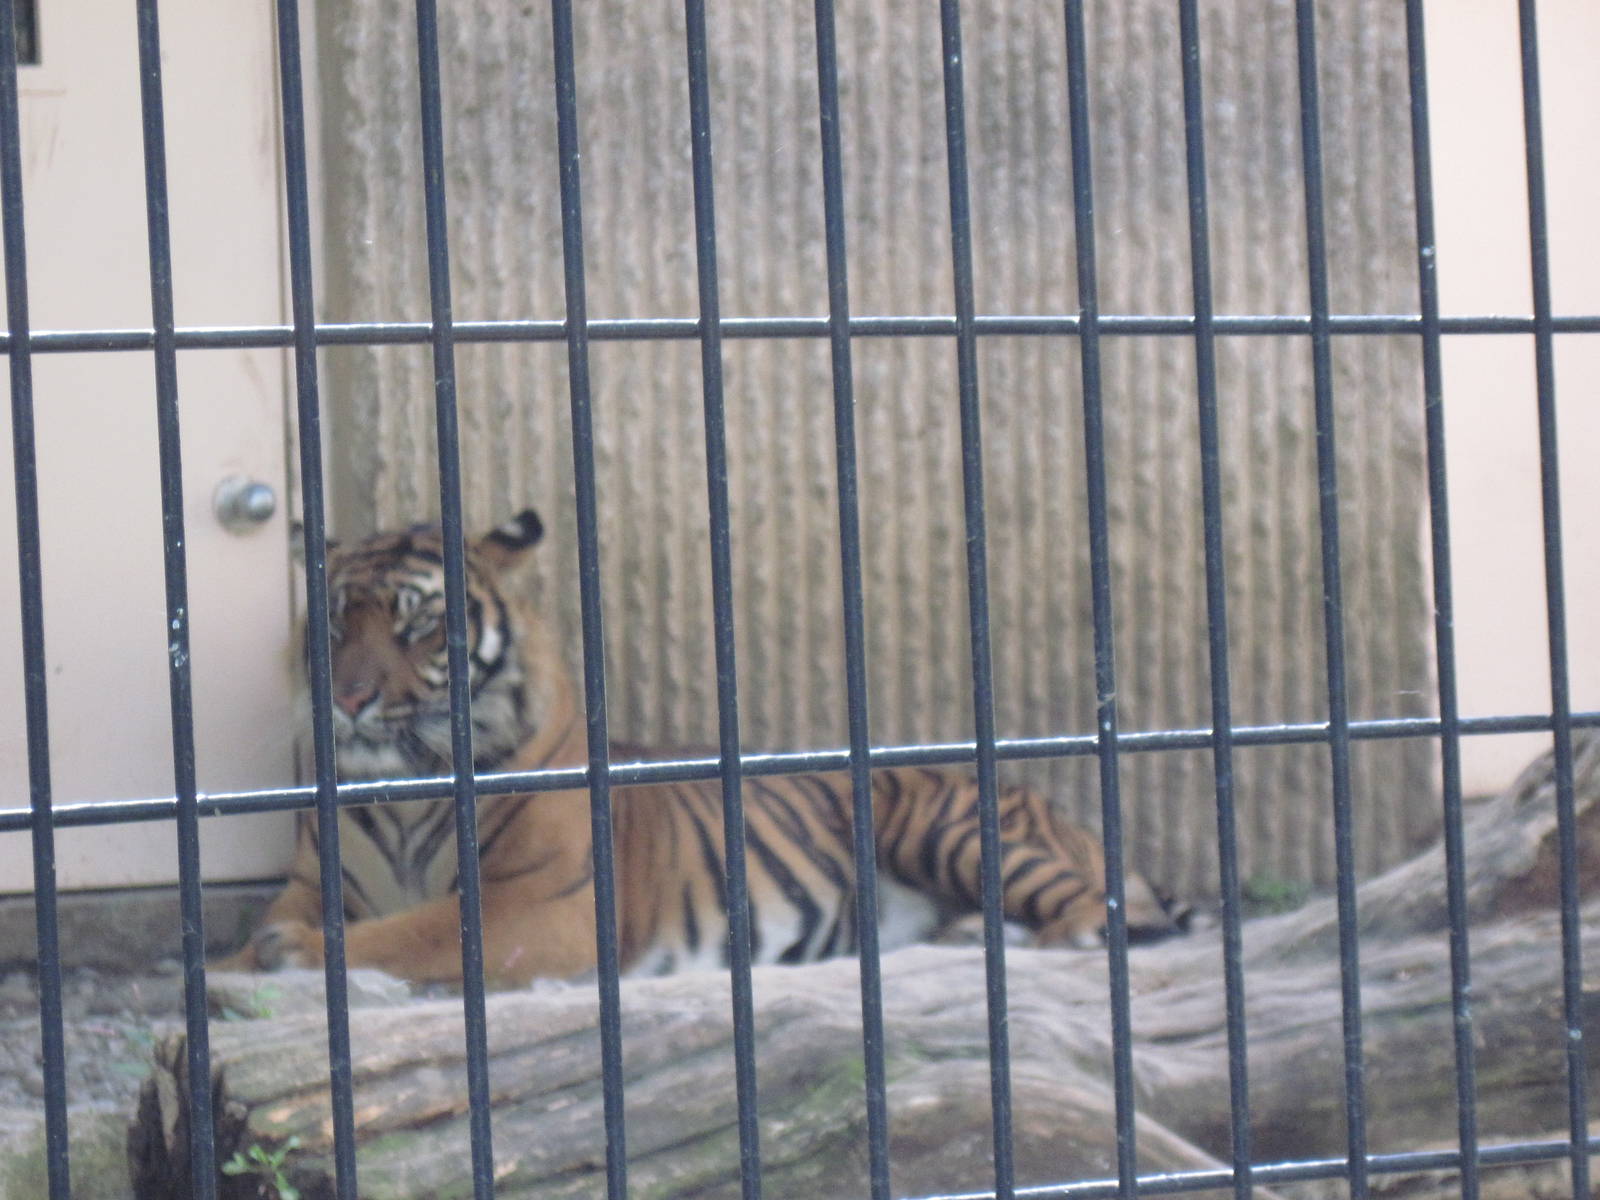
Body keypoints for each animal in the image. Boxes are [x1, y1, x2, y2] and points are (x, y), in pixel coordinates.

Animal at [221, 510, 1187, 988]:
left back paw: (1044, 937)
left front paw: (293, 954)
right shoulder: (312, 882)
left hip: (952, 826)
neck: (402, 789)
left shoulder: (544, 904)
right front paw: (243, 957)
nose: (347, 699)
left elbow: (415, 931)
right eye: (335, 624)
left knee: (1117, 911)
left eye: (419, 625)